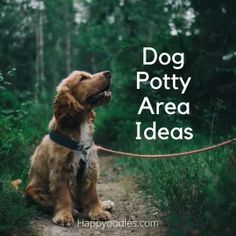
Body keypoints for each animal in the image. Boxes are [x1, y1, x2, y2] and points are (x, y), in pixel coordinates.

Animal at [26, 70, 114, 227]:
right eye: (83, 78)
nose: (108, 72)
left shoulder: (90, 166)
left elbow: (92, 193)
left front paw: (98, 212)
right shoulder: (61, 170)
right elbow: (63, 196)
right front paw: (64, 216)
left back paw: (104, 204)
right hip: (34, 191)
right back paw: (73, 210)